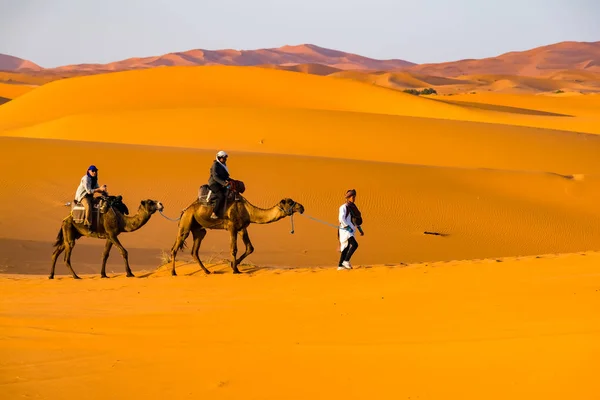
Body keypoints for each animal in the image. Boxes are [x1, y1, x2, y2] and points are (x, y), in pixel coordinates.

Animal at [171, 194, 304, 276]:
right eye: (290, 202)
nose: (302, 207)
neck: (249, 211)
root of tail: (185, 210)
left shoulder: (242, 228)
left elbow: (250, 248)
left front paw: (233, 265)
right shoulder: (232, 227)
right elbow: (233, 249)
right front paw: (235, 270)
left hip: (199, 230)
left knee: (195, 250)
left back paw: (207, 271)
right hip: (186, 224)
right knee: (175, 248)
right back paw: (173, 273)